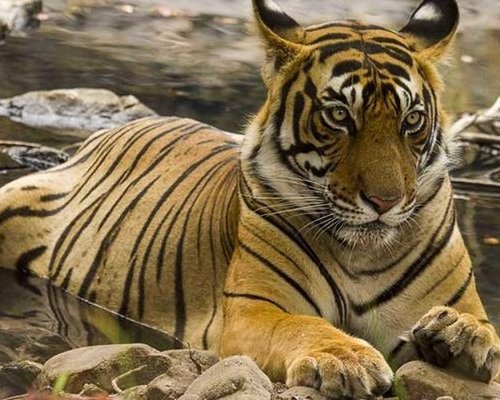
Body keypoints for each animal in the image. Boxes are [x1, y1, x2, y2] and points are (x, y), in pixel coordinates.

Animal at [0, 0, 500, 396]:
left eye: (411, 120)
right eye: (339, 115)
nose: (385, 201)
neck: (363, 254)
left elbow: (483, 328)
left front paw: (459, 333)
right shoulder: (252, 310)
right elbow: (299, 324)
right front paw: (346, 358)